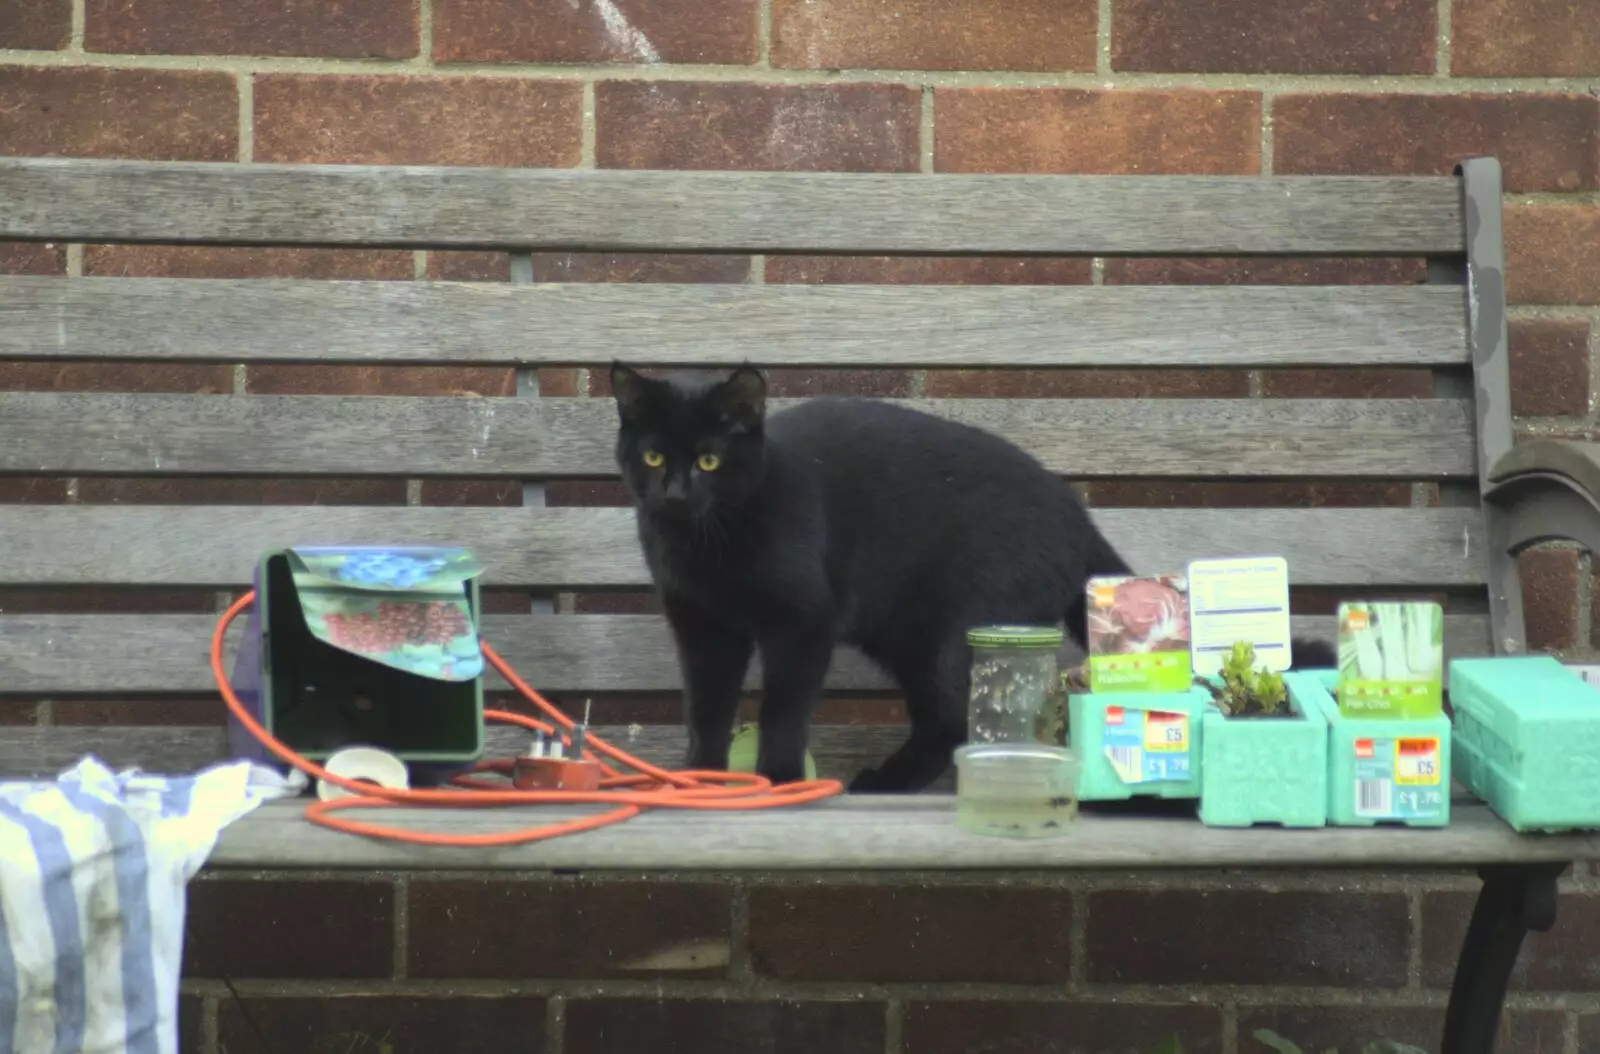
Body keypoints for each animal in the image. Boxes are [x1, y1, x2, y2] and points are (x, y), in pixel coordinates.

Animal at [611, 363, 1337, 793]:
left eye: (709, 460)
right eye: (654, 456)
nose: (673, 494)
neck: (705, 542)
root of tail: (1072, 512)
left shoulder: (801, 624)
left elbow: (784, 710)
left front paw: (783, 780)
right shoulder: (702, 628)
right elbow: (706, 709)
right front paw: (698, 780)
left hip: (942, 633)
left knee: (949, 718)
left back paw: (887, 781)